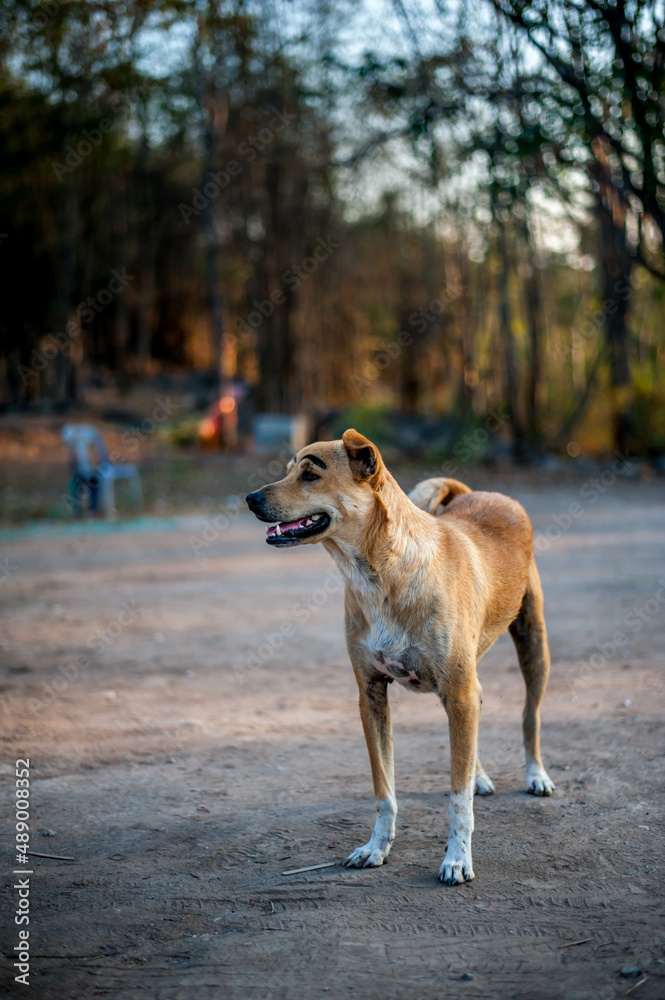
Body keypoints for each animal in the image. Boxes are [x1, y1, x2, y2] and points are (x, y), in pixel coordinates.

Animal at [246, 430, 552, 884]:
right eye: (287, 470)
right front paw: (376, 847)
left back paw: (536, 775)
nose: (250, 498)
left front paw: (457, 859)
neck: (380, 575)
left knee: (529, 716)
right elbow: (385, 790)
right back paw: (480, 775)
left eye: (310, 474)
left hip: (533, 646)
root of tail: (487, 494)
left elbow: (457, 799)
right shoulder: (372, 695)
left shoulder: (458, 692)